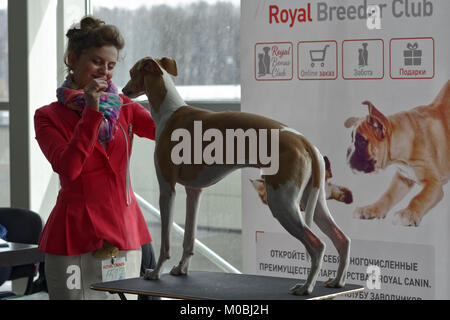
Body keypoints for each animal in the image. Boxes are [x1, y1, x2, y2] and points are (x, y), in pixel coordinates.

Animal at [123, 57, 352, 296]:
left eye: (131, 72)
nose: (123, 90)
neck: (170, 111)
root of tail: (305, 141)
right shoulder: (194, 191)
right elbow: (189, 238)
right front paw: (182, 268)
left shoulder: (167, 189)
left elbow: (165, 241)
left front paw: (156, 272)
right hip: (313, 202)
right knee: (342, 239)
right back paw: (337, 281)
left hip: (282, 203)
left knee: (317, 245)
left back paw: (306, 287)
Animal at [346, 80, 448, 226]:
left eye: (361, 142)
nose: (348, 151)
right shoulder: (402, 179)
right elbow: (387, 195)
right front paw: (371, 209)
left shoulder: (433, 183)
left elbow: (419, 197)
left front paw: (408, 213)